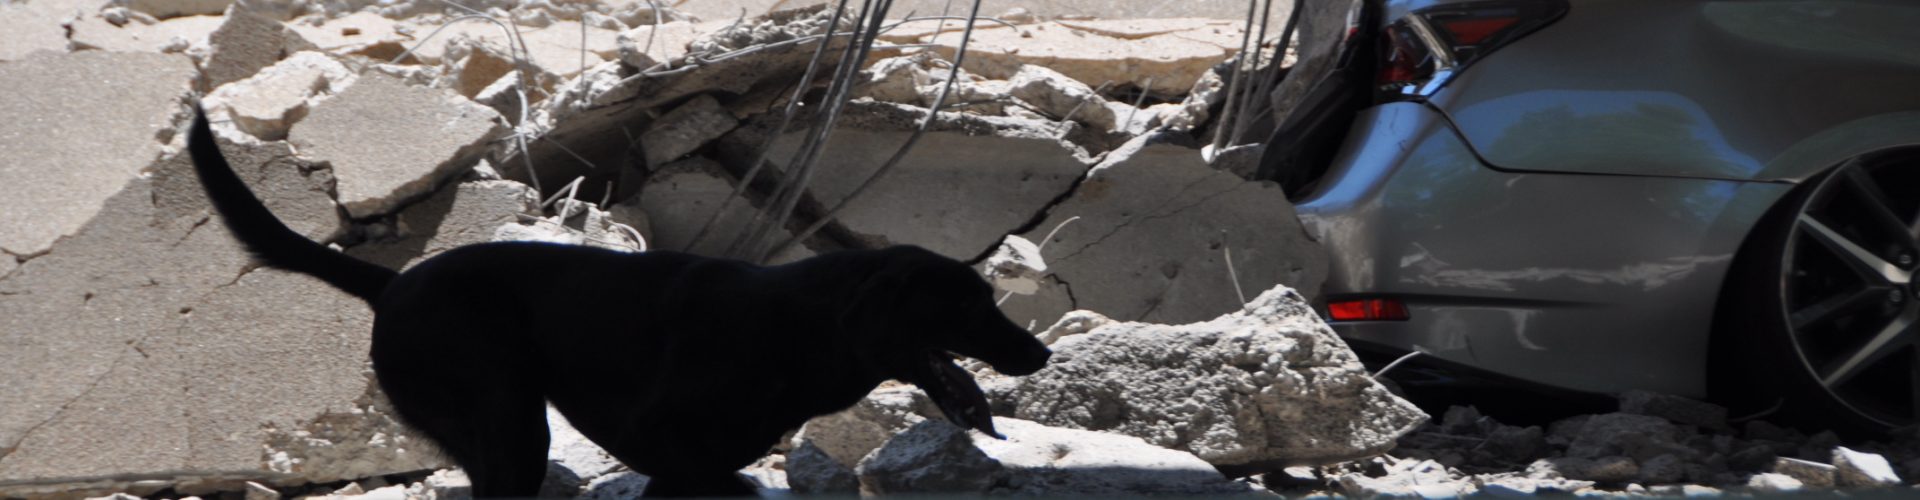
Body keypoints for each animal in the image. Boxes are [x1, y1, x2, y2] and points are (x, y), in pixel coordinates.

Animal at [189, 108, 1059, 496]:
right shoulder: (664, 439)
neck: (800, 331)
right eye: (966, 307)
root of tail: (395, 282)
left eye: (990, 299)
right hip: (510, 427)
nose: (1041, 351)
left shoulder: (684, 464)